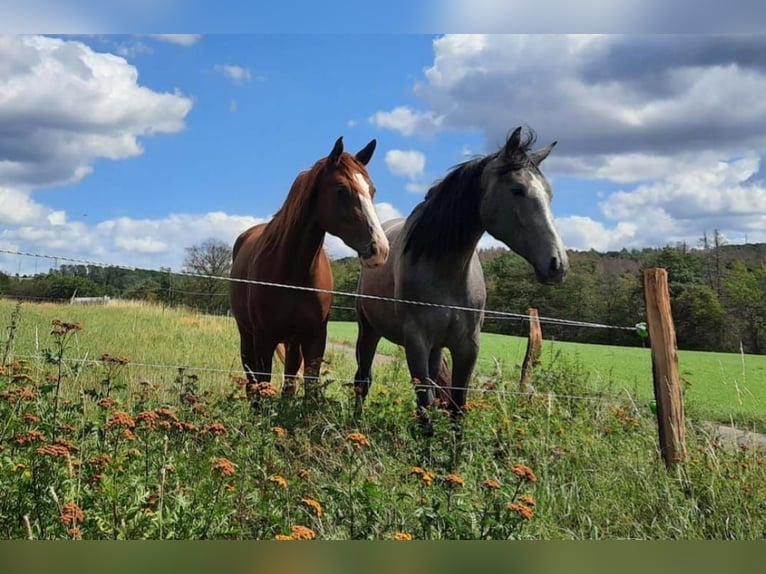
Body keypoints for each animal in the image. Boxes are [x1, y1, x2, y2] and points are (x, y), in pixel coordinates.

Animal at [230, 136, 390, 403]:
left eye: (372, 191)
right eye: (340, 189)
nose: (380, 249)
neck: (293, 272)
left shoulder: (315, 338)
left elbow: (310, 389)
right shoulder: (264, 338)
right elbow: (263, 387)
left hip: (293, 342)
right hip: (247, 335)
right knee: (252, 382)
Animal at [352, 126, 569, 431]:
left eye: (549, 194)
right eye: (517, 190)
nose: (557, 264)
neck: (446, 272)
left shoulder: (467, 346)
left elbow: (457, 406)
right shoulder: (416, 342)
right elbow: (425, 404)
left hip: (435, 347)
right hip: (369, 329)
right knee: (363, 379)